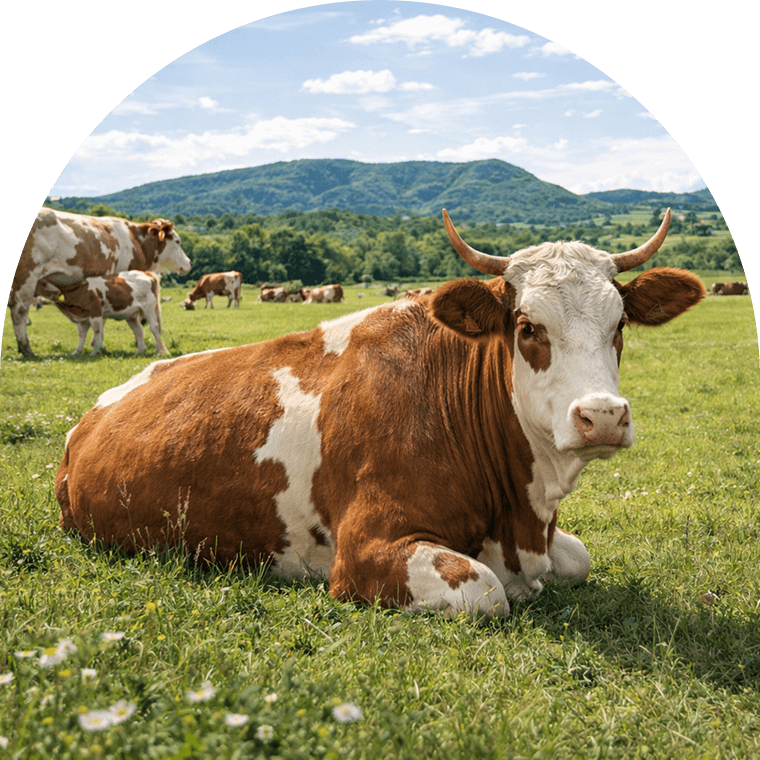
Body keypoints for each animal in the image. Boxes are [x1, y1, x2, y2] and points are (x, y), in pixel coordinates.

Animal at [12, 208, 191, 356]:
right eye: (177, 241)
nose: (189, 262)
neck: (136, 240)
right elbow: (104, 321)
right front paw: (98, 346)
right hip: (26, 278)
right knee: (19, 311)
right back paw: (26, 349)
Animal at [55, 208, 705, 617]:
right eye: (527, 327)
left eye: (619, 325)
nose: (603, 415)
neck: (521, 519)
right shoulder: (365, 550)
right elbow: (484, 590)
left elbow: (579, 557)